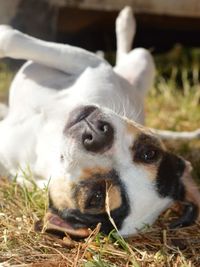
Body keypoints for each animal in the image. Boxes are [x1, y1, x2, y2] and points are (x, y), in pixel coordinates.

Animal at [0, 6, 200, 238]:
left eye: (96, 197)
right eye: (149, 154)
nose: (97, 135)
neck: (51, 133)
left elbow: (7, 37)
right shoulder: (88, 63)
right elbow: (9, 39)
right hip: (141, 59)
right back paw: (125, 22)